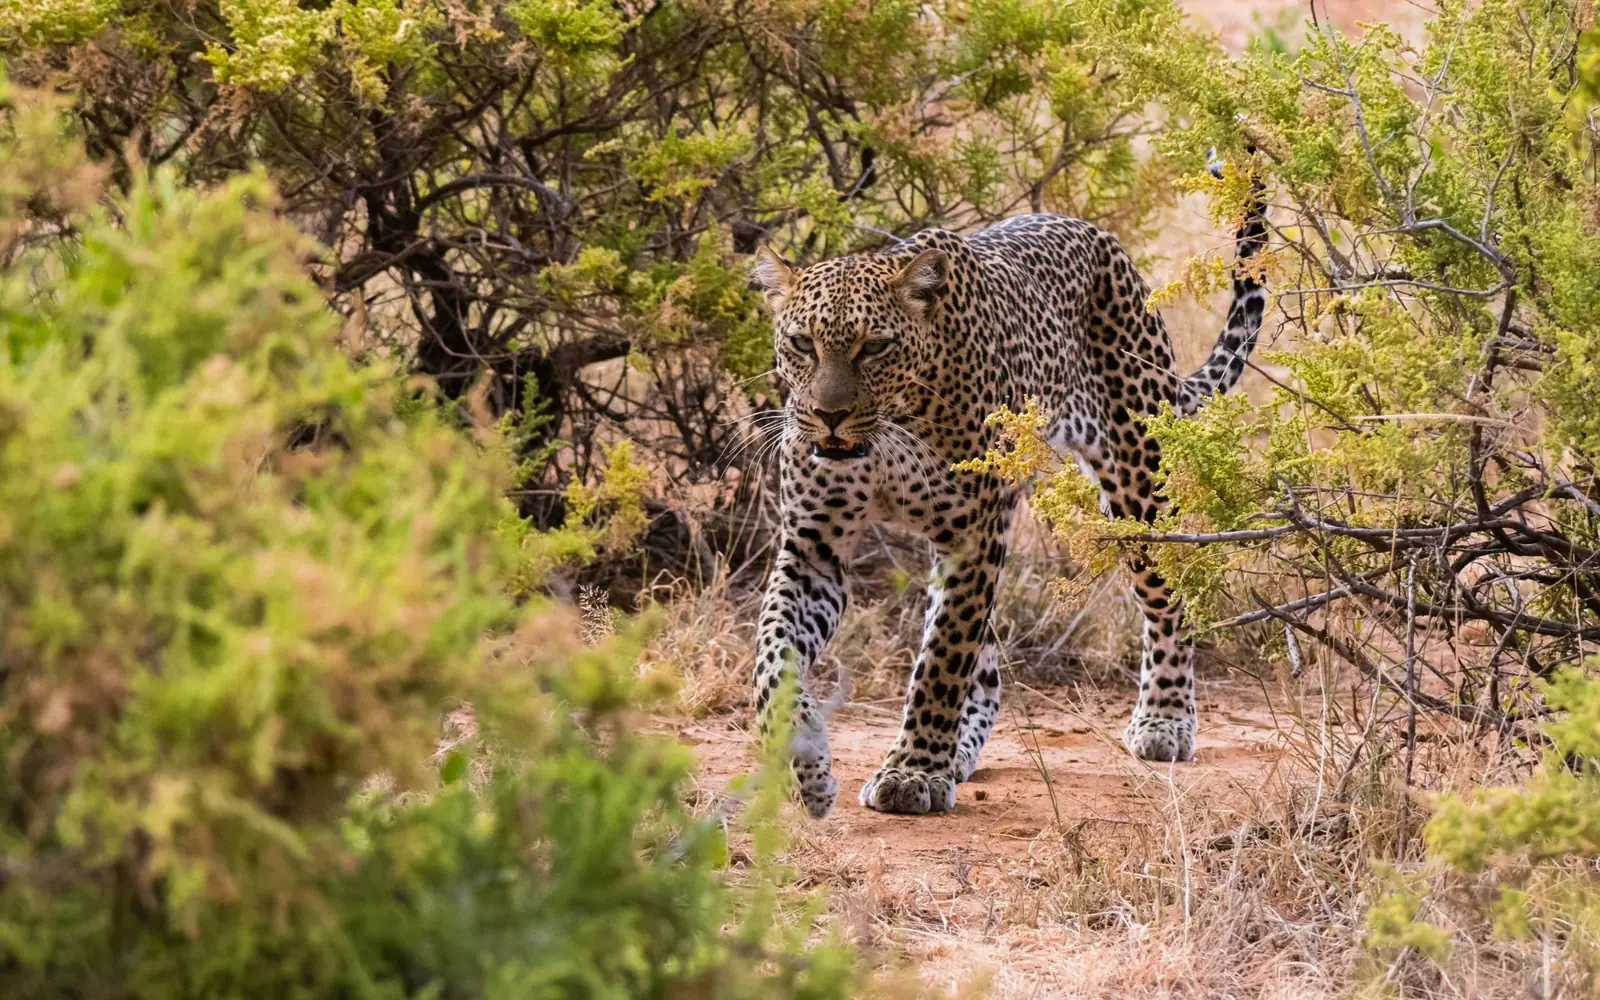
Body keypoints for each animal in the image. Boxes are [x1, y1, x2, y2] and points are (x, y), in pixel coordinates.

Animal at [747, 163, 1268, 818]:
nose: (828, 416)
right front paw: (807, 765)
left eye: (874, 347)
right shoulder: (813, 547)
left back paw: (1164, 719)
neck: (890, 431)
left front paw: (913, 772)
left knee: (1166, 603)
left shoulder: (970, 537)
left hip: (1136, 485)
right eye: (802, 344)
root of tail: (1100, 237)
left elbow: (942, 660)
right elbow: (772, 655)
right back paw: (962, 749)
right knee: (988, 664)